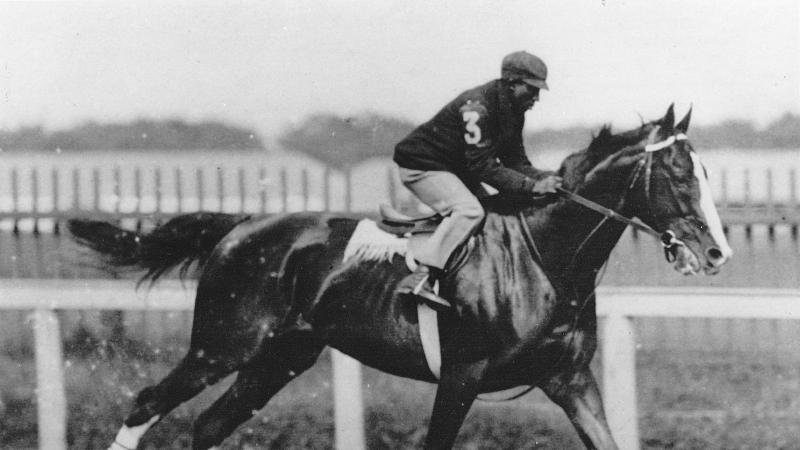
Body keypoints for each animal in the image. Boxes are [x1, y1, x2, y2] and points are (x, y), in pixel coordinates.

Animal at [72, 103, 736, 448]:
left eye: (705, 172)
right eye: (680, 174)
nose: (717, 252)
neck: (543, 258)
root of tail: (239, 227)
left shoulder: (569, 378)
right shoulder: (462, 373)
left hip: (282, 356)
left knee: (210, 423)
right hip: (223, 345)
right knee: (148, 402)